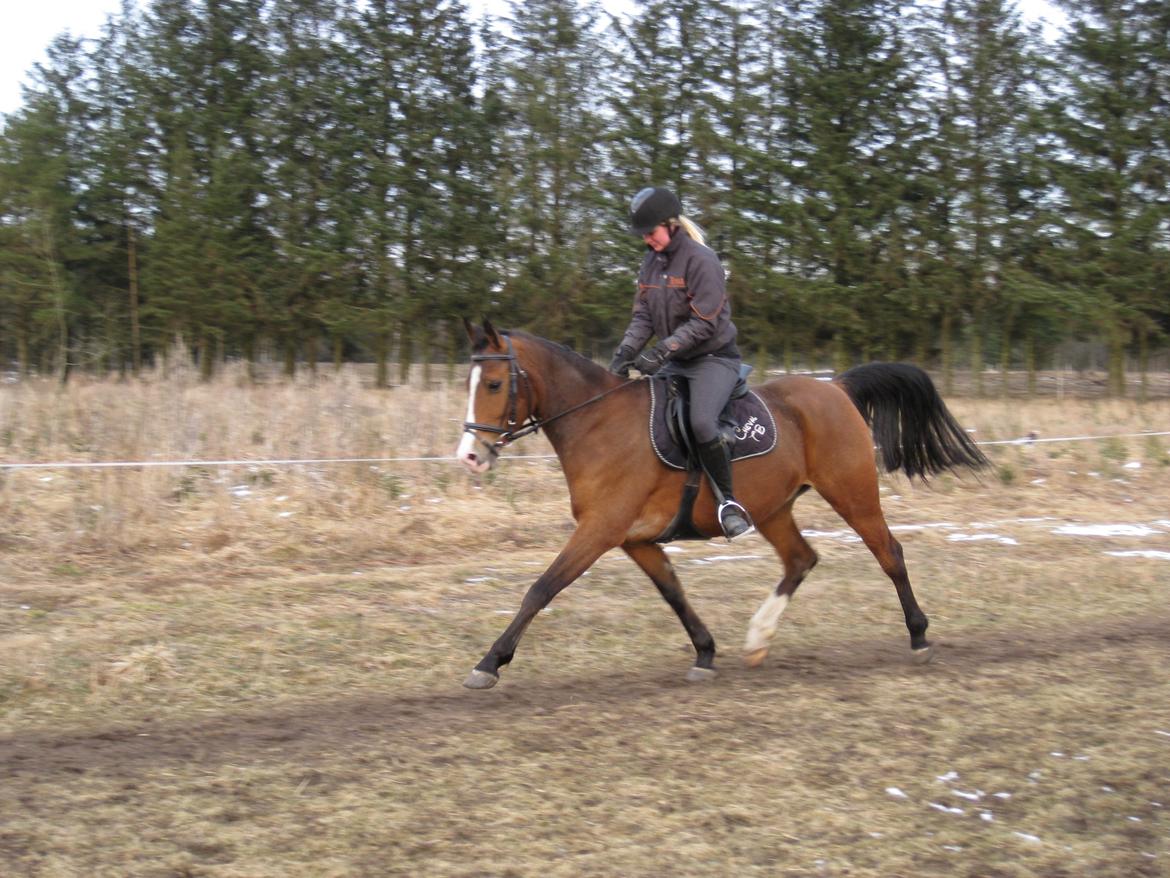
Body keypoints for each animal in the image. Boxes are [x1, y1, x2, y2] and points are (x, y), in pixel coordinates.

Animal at [456, 320, 987, 693]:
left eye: (495, 384)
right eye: (470, 381)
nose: (470, 455)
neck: (599, 423)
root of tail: (834, 386)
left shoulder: (601, 530)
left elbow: (541, 589)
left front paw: (489, 663)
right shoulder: (635, 540)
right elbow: (673, 593)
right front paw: (706, 653)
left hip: (852, 493)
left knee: (889, 553)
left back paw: (919, 638)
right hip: (773, 508)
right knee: (801, 559)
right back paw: (758, 639)